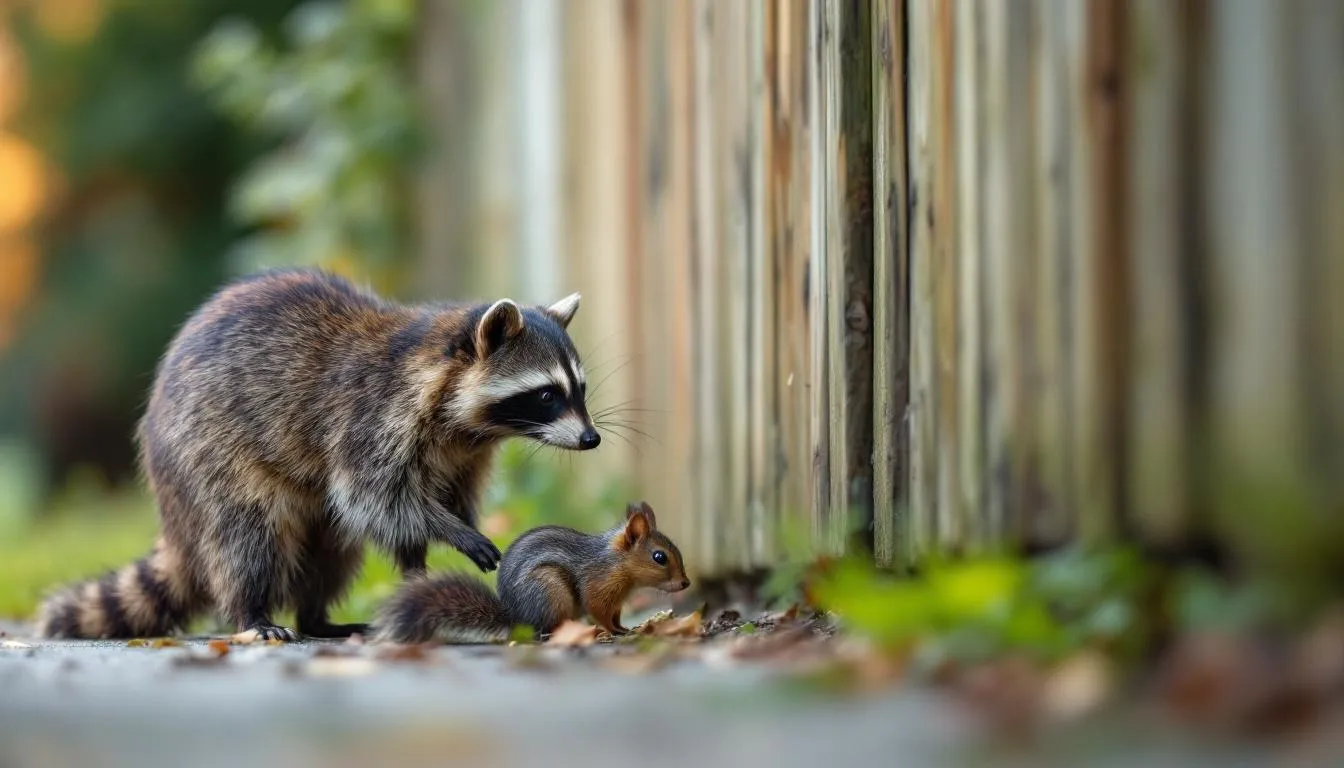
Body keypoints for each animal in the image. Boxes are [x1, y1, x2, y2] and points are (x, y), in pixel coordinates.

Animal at [36, 268, 602, 642]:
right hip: (205, 457)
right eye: (547, 395)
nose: (592, 440)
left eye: (580, 389)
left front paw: (424, 568)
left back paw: (316, 617)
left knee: (330, 550)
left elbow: (421, 512)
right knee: (248, 538)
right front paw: (454, 532)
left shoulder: (463, 454)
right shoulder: (370, 419)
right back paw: (252, 612)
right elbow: (377, 499)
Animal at [371, 501, 690, 642]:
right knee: (545, 629)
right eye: (659, 557)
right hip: (549, 592)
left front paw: (624, 628)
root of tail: (519, 617)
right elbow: (599, 613)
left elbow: (615, 615)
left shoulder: (617, 602)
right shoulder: (597, 588)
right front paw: (612, 632)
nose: (686, 583)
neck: (615, 563)